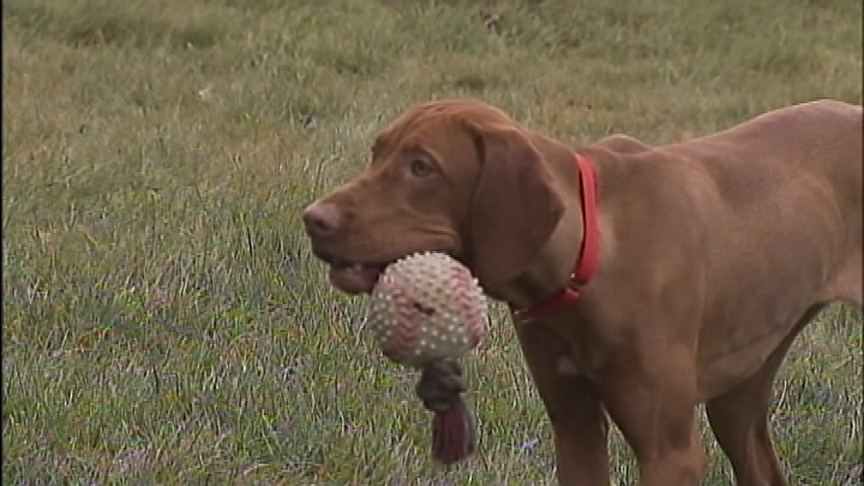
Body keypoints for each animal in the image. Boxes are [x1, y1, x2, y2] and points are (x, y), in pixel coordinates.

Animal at [300, 99, 860, 486]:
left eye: (422, 167)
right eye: (377, 153)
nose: (313, 219)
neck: (586, 256)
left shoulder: (670, 452)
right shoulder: (574, 427)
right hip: (740, 386)